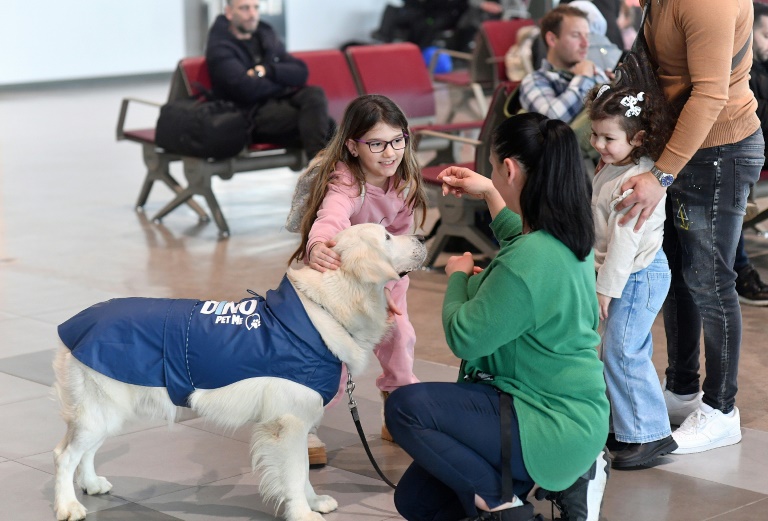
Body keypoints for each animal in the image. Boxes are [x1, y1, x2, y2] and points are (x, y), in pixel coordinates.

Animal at [52, 223, 426, 520]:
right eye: (387, 236)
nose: (423, 236)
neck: (324, 308)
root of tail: (76, 323)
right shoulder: (288, 423)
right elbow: (294, 473)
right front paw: (302, 513)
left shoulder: (298, 420)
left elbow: (304, 470)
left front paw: (313, 501)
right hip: (99, 408)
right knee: (65, 455)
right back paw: (67, 506)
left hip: (107, 411)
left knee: (86, 452)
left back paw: (91, 484)